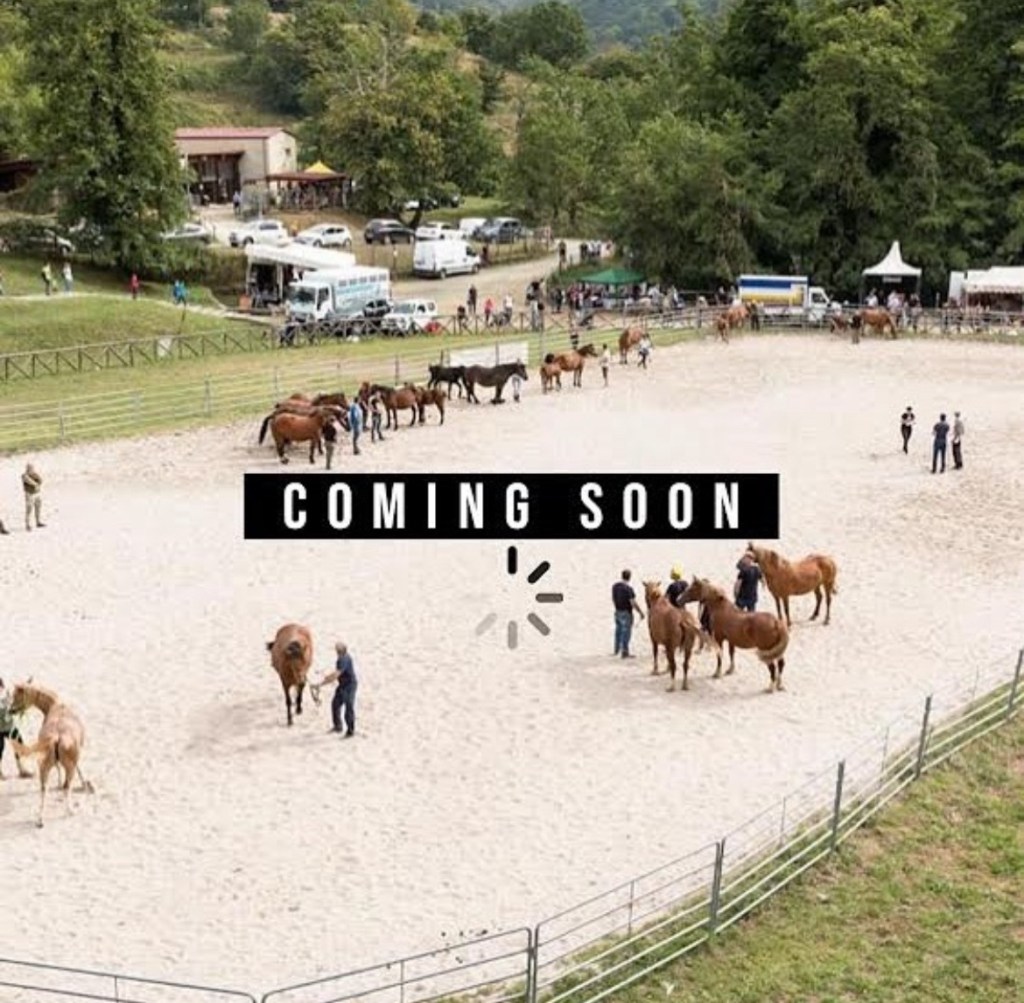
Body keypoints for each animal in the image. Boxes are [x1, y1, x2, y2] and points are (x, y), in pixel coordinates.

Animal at [8, 681, 94, 828]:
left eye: (16, 695)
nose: (10, 711)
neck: (56, 705)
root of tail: (56, 737)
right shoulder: (76, 757)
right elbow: (79, 768)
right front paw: (85, 785)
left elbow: (59, 769)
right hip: (68, 768)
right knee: (67, 786)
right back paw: (70, 811)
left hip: (43, 766)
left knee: (43, 789)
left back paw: (40, 820)